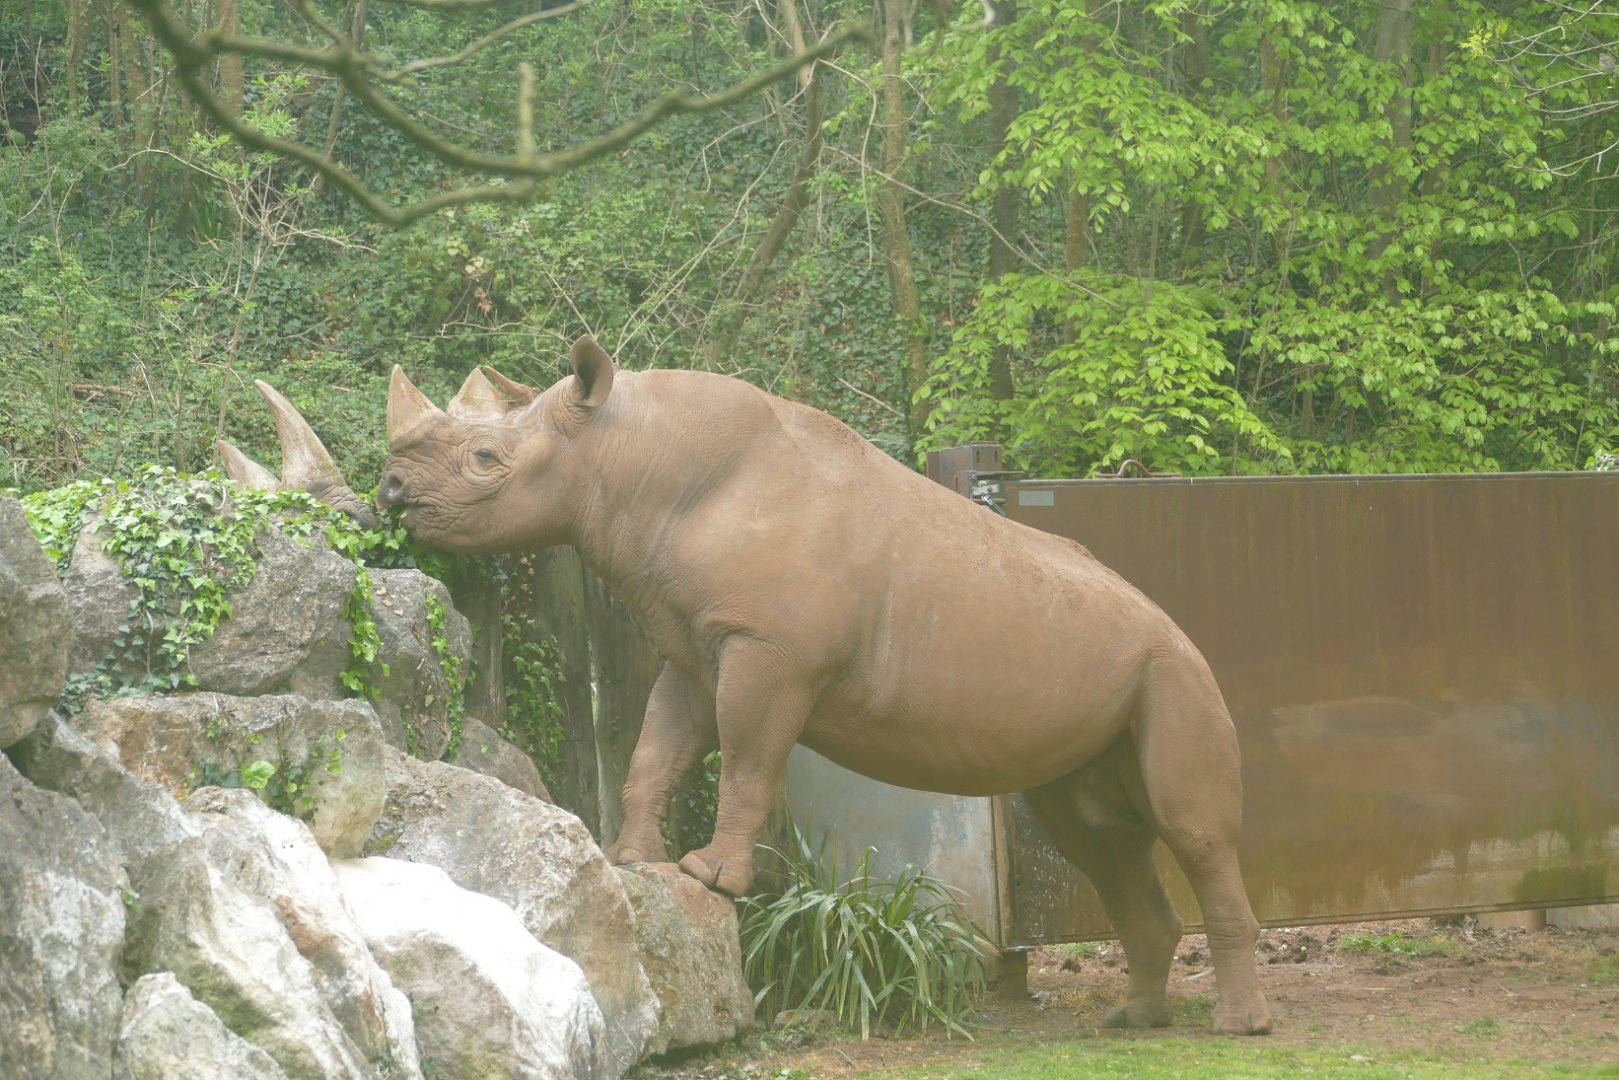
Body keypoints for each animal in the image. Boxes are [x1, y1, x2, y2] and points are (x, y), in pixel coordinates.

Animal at [374, 337, 1274, 1035]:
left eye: (484, 461)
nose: (389, 490)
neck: (630, 455)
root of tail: (1169, 618)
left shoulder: (770, 653)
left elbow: (745, 761)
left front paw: (711, 878)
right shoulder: (696, 648)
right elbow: (655, 752)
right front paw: (631, 859)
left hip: (1174, 667)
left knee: (1189, 831)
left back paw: (1236, 1027)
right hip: (1119, 661)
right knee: (1098, 836)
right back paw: (1136, 1020)